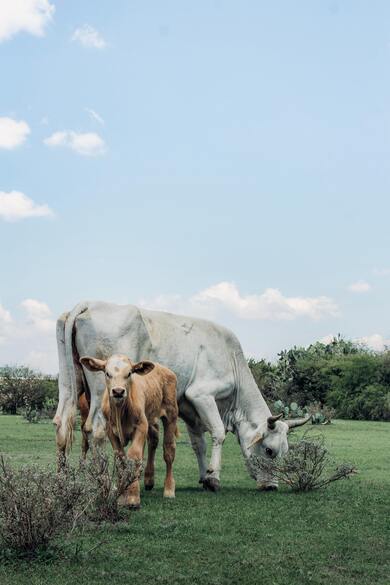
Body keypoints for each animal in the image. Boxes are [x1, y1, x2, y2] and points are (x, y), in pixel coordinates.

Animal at [53, 302, 308, 488]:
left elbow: (198, 443)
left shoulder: (188, 407)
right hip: (102, 390)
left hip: (69, 383)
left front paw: (204, 476)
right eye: (269, 450)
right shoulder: (202, 395)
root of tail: (90, 304)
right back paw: (104, 482)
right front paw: (213, 477)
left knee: (61, 424)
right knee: (95, 429)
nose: (272, 486)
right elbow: (218, 433)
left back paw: (63, 480)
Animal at [80, 352, 178, 506]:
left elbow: (134, 456)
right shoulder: (111, 431)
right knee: (153, 440)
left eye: (129, 373)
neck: (121, 411)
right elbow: (121, 458)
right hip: (151, 419)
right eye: (107, 373)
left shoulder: (141, 426)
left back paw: (168, 489)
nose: (118, 391)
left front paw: (132, 497)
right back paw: (149, 480)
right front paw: (121, 496)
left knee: (168, 451)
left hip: (171, 414)